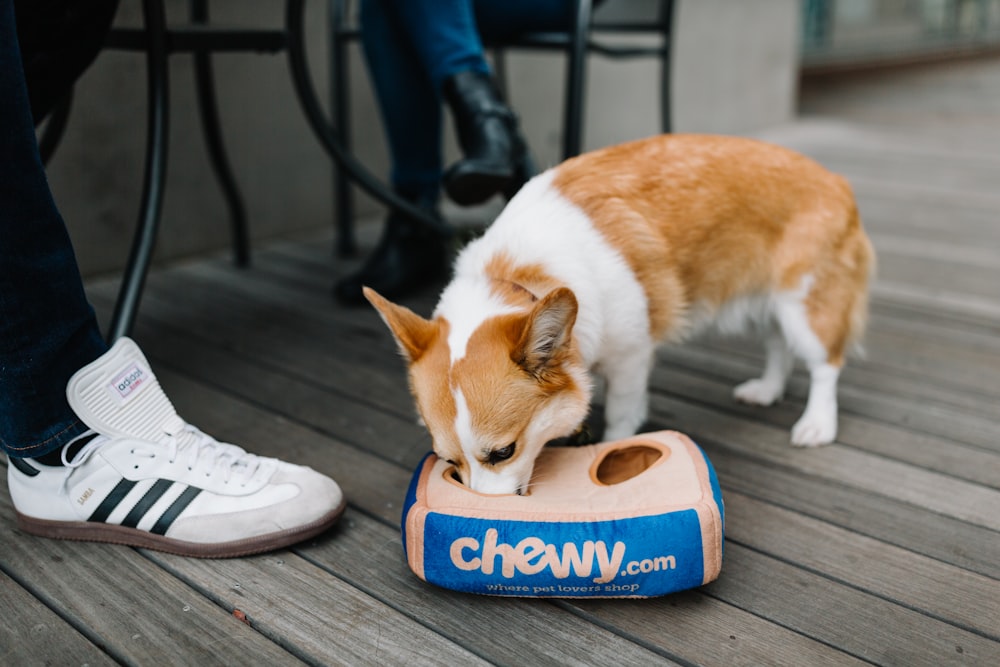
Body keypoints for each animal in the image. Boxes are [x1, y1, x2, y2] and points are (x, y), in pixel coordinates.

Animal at [368, 133, 876, 496]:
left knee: (824, 364)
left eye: (503, 452)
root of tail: (837, 180)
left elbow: (622, 417)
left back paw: (817, 423)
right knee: (776, 345)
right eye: (447, 459)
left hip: (803, 306)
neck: (518, 276)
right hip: (763, 303)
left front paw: (612, 452)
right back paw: (767, 390)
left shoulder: (632, 356)